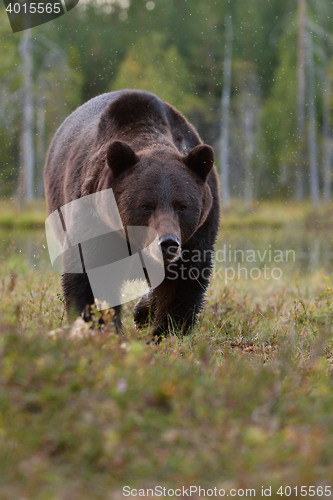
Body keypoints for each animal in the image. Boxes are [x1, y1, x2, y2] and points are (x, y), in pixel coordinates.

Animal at [44, 89, 220, 340]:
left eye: (182, 206)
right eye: (146, 205)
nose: (167, 242)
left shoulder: (198, 231)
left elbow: (184, 278)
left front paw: (167, 331)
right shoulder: (94, 217)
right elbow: (91, 270)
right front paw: (99, 327)